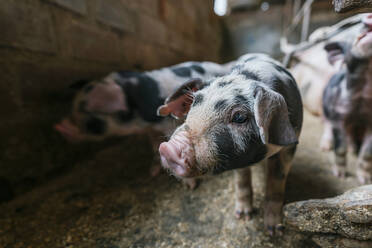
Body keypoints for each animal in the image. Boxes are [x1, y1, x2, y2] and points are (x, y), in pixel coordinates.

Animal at [53, 60, 234, 188]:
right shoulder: (150, 130)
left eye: (92, 124)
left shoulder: (166, 123)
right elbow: (154, 146)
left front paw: (190, 186)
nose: (60, 126)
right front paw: (152, 172)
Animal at [156, 53, 302, 234]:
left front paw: (274, 230)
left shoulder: (290, 145)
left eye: (239, 117)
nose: (169, 148)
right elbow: (242, 181)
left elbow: (276, 181)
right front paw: (243, 216)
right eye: (194, 103)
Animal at [322, 14, 372, 184]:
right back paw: (325, 147)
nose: (369, 15)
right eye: (354, 30)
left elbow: (367, 153)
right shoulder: (338, 115)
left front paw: (365, 180)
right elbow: (340, 147)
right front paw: (340, 175)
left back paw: (353, 148)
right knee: (326, 124)